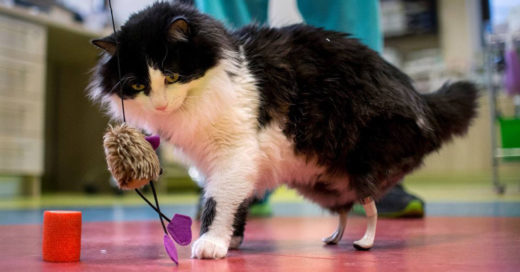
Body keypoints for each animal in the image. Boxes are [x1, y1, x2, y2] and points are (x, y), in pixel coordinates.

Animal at [87, 0, 478, 260]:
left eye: (171, 76)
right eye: (139, 86)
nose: (160, 106)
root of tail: (421, 100)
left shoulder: (233, 155)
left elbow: (218, 201)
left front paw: (211, 243)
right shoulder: (219, 164)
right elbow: (235, 201)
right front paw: (232, 239)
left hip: (363, 163)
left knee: (370, 209)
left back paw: (364, 242)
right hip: (322, 181)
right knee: (344, 209)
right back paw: (333, 238)